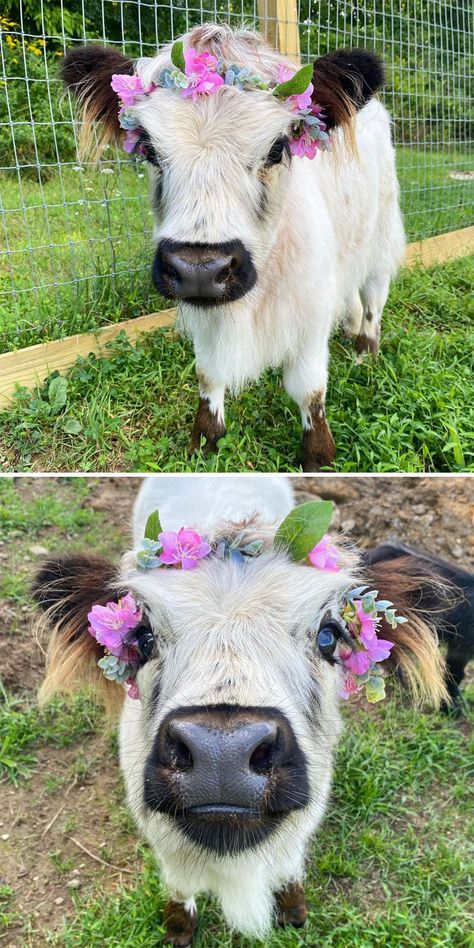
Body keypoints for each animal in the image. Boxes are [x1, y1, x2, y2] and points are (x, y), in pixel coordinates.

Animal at [32, 478, 466, 944]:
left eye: (329, 635)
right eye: (143, 636)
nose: (222, 753)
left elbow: (289, 865)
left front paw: (293, 910)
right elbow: (180, 888)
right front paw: (178, 930)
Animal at [61, 27, 406, 472]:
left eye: (278, 148)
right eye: (150, 150)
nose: (199, 269)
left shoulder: (309, 311)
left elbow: (308, 388)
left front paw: (318, 455)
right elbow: (209, 373)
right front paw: (205, 439)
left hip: (381, 236)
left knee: (373, 297)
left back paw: (366, 349)